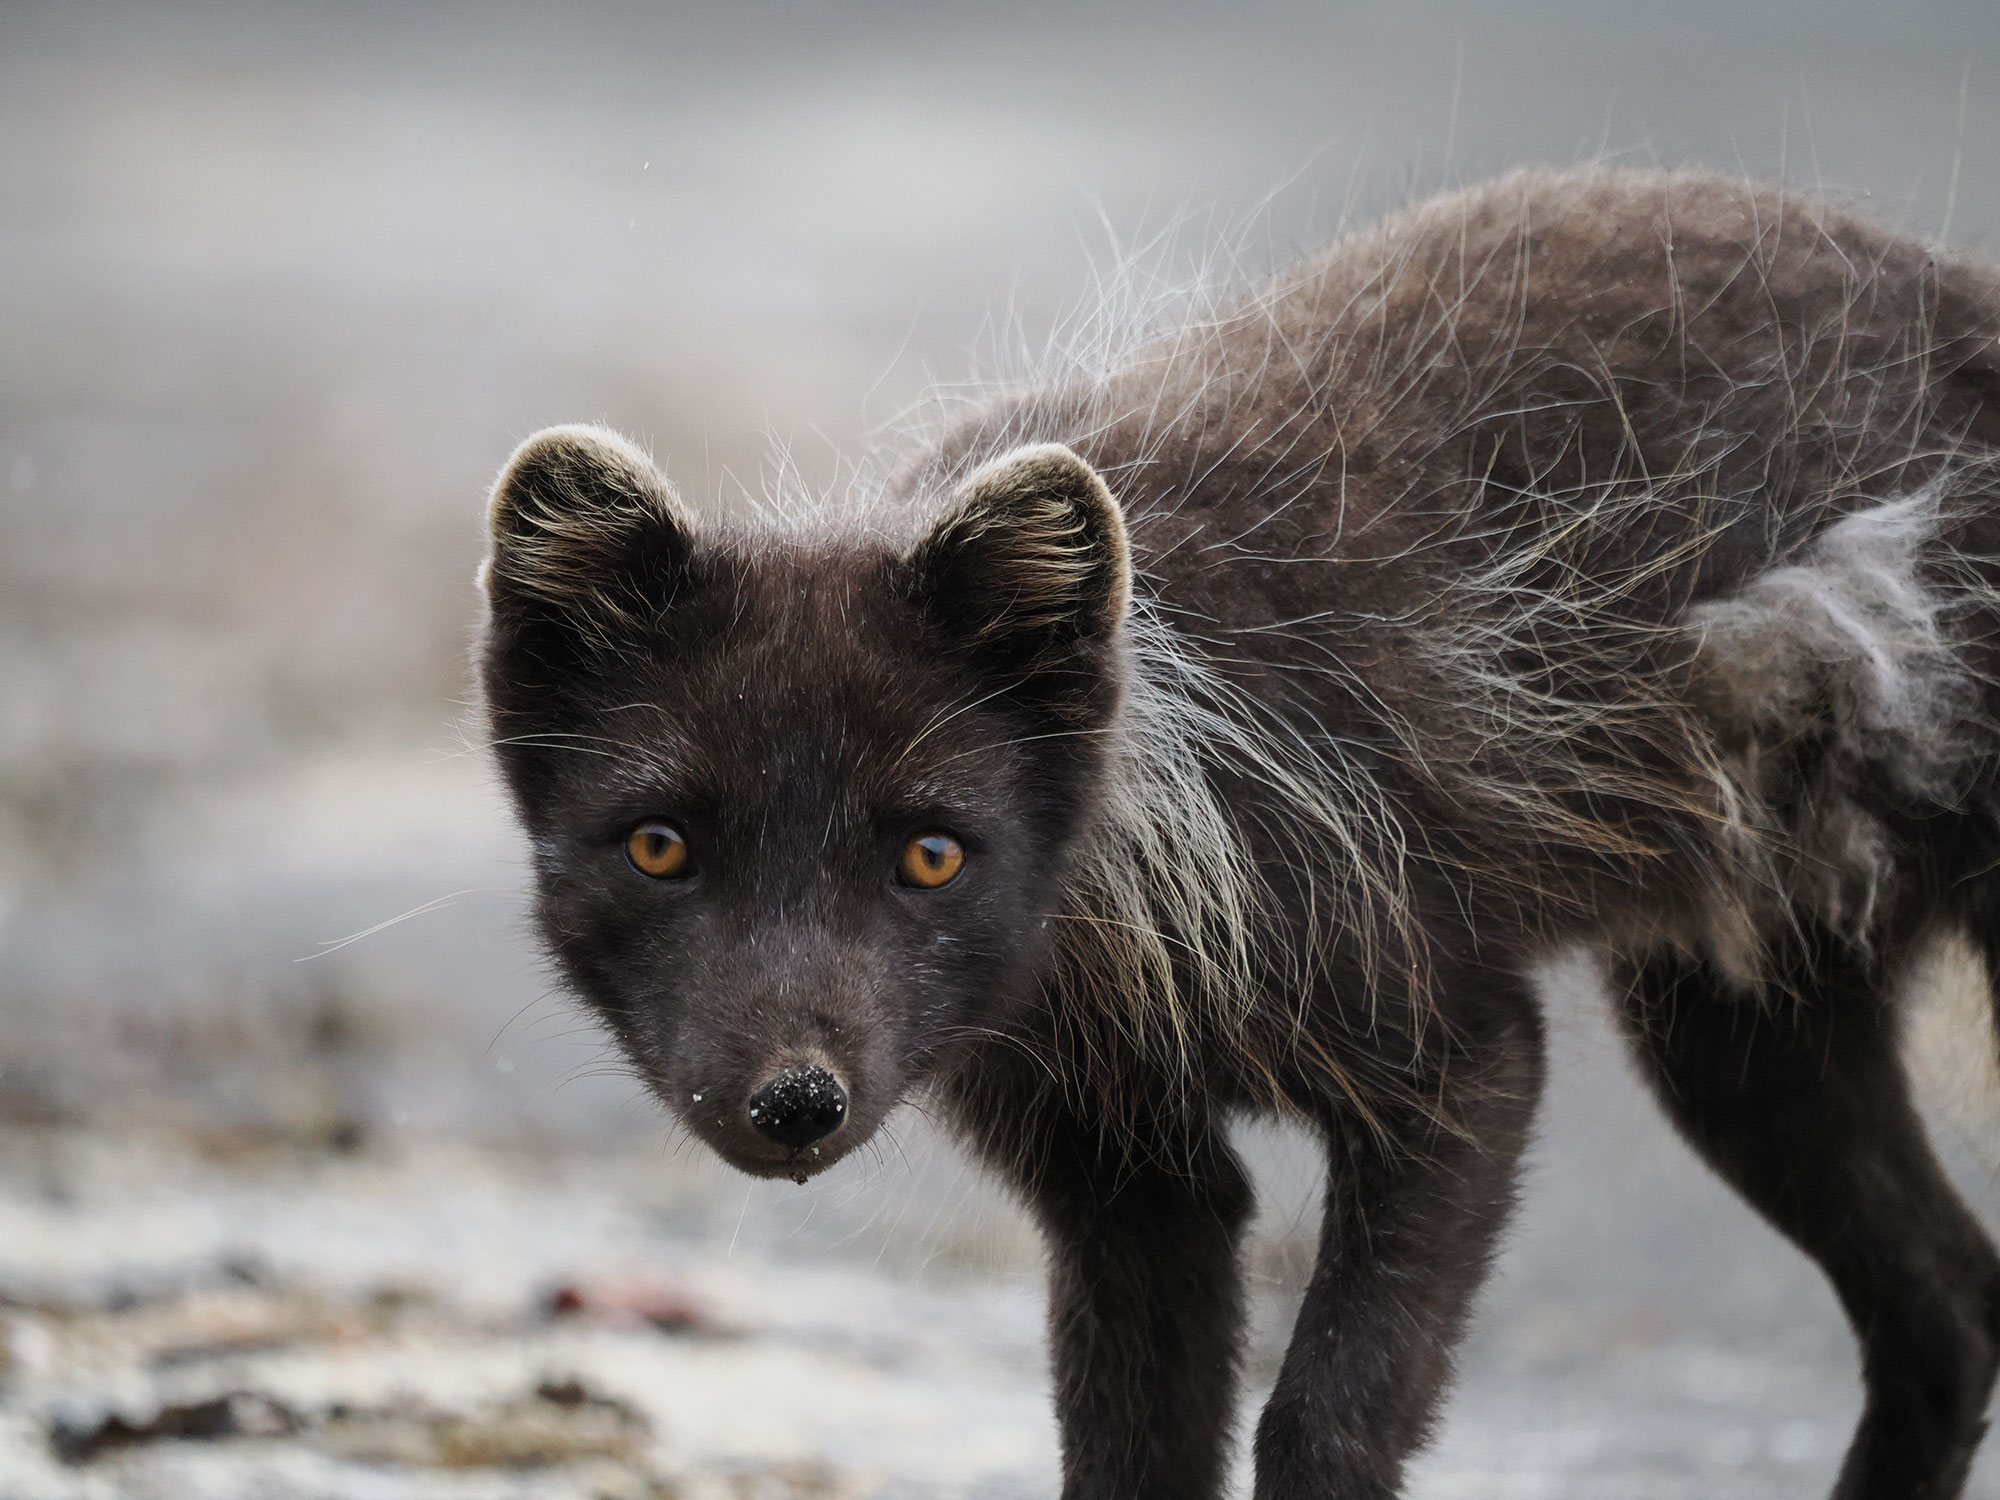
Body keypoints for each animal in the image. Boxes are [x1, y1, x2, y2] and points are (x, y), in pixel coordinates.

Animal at [478, 167, 2000, 1499]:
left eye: (929, 853)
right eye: (660, 845)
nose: (796, 1101)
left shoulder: (1457, 1052)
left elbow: (1323, 1416)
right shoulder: (1118, 1168)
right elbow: (1128, 1447)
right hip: (1739, 1031)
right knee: (1950, 1312)